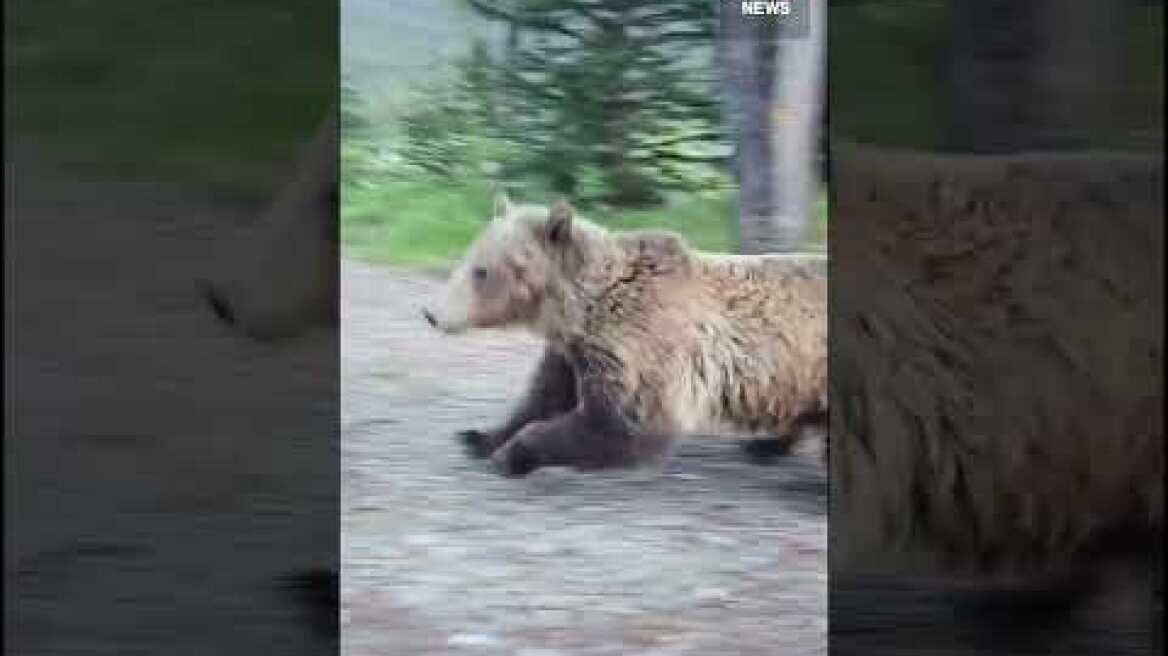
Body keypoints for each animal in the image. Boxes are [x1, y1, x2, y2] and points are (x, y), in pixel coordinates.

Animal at [421, 194, 827, 477]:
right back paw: (765, 446)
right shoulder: (573, 352)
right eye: (469, 257)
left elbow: (623, 424)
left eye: (481, 271)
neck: (580, 309)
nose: (432, 314)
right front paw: (479, 437)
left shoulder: (636, 345)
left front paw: (513, 455)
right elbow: (541, 399)